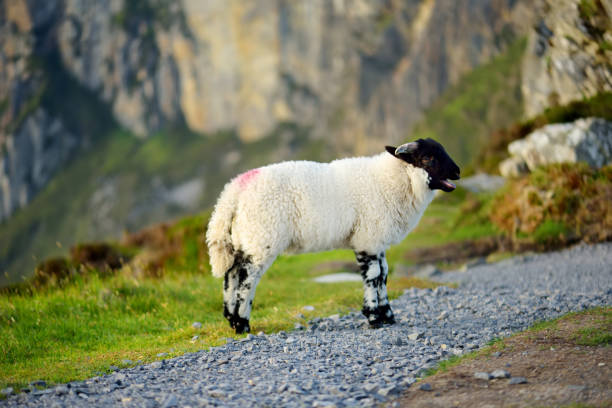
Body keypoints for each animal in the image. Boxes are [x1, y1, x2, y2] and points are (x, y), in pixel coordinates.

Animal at [206, 139, 460, 334]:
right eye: (427, 158)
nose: (457, 172)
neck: (393, 181)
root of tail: (234, 190)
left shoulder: (376, 239)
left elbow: (384, 274)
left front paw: (387, 315)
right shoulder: (368, 239)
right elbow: (373, 276)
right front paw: (374, 317)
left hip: (244, 237)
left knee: (232, 273)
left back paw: (231, 319)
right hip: (262, 237)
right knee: (246, 279)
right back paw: (242, 324)